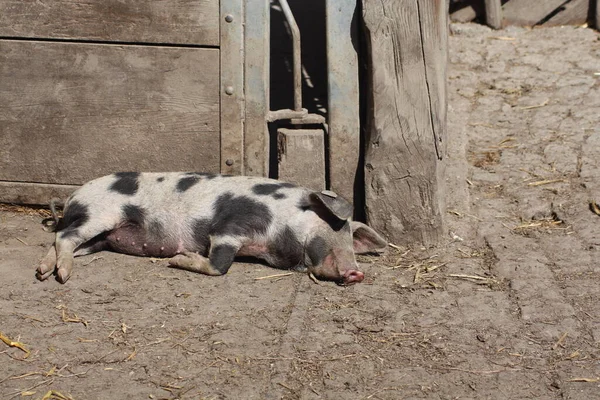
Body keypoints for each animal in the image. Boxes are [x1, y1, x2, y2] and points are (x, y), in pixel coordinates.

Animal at [35, 172, 386, 284]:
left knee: (63, 241)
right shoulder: (230, 226)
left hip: (101, 238)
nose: (357, 272)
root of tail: (72, 198)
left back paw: (44, 271)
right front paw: (178, 259)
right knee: (64, 236)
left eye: (352, 240)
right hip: (99, 215)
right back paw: (61, 276)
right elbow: (220, 265)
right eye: (334, 228)